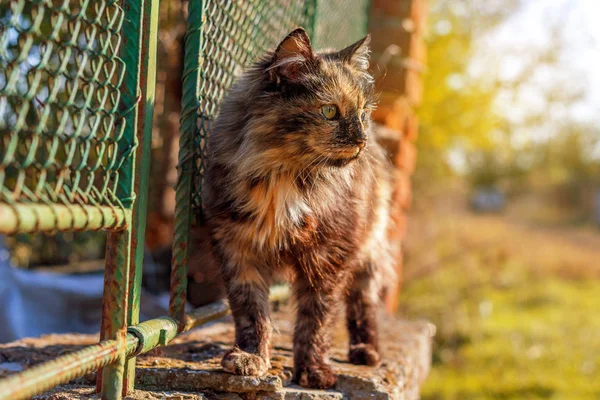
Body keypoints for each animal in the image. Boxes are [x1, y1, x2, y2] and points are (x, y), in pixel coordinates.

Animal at [203, 27, 398, 388]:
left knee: (364, 303)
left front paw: (313, 370)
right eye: (330, 112)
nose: (361, 139)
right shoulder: (237, 250)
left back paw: (366, 351)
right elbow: (251, 313)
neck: (283, 178)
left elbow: (316, 320)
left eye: (363, 113)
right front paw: (250, 357)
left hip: (369, 250)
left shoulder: (330, 257)